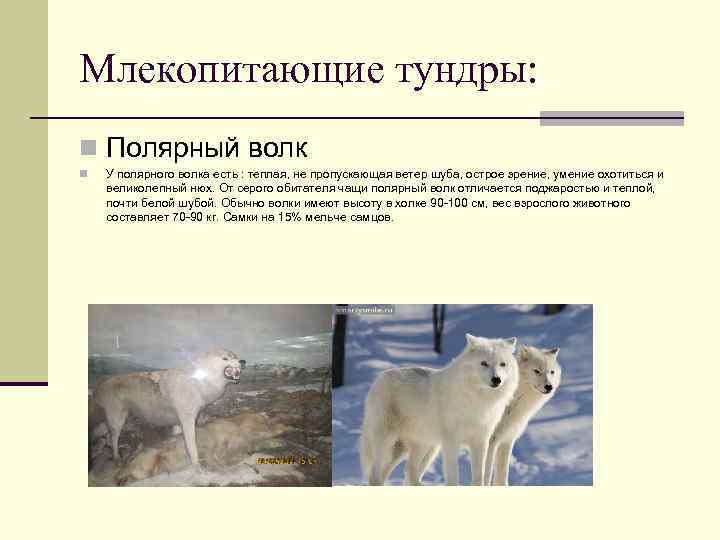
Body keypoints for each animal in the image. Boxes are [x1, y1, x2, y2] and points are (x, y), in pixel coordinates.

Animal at [91, 348, 246, 467]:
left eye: (235, 356)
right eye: (225, 358)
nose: (243, 361)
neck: (200, 382)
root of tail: (101, 384)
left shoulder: (180, 422)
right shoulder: (187, 421)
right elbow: (192, 449)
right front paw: (196, 466)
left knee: (107, 436)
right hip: (118, 422)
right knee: (113, 439)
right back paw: (116, 458)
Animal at [360, 334, 519, 485]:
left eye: (502, 364)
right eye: (484, 363)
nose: (496, 379)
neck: (478, 399)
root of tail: (379, 378)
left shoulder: (481, 441)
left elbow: (479, 478)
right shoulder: (451, 442)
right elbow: (453, 477)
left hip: (425, 447)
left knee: (408, 471)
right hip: (387, 442)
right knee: (375, 475)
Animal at [484, 345, 561, 485]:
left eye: (551, 372)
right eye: (536, 371)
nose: (549, 387)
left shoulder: (506, 440)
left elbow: (502, 475)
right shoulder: (490, 441)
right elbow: (486, 475)